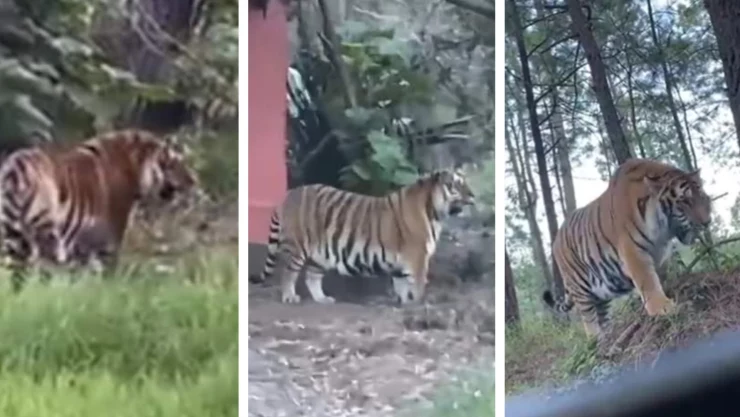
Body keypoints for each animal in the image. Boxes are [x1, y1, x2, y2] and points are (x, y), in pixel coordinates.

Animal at [0, 129, 198, 290]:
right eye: (175, 163)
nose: (194, 181)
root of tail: (16, 169)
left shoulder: (81, 243)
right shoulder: (109, 239)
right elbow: (105, 272)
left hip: (13, 237)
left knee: (17, 274)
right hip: (45, 234)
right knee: (43, 271)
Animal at [249, 169, 476, 305]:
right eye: (456, 185)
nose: (473, 196)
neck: (434, 212)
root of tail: (287, 195)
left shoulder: (402, 262)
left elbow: (401, 283)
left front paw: (404, 302)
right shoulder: (418, 257)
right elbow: (418, 283)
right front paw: (418, 303)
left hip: (319, 255)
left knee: (311, 277)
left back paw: (322, 299)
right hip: (297, 248)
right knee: (288, 273)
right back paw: (289, 297)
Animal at [543, 158, 712, 339]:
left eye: (702, 196)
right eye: (684, 201)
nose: (706, 222)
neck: (662, 232)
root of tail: (555, 239)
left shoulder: (661, 255)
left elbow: (660, 277)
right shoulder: (633, 252)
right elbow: (648, 281)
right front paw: (662, 308)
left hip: (601, 292)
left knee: (601, 314)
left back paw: (607, 334)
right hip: (579, 286)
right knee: (588, 318)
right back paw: (595, 338)